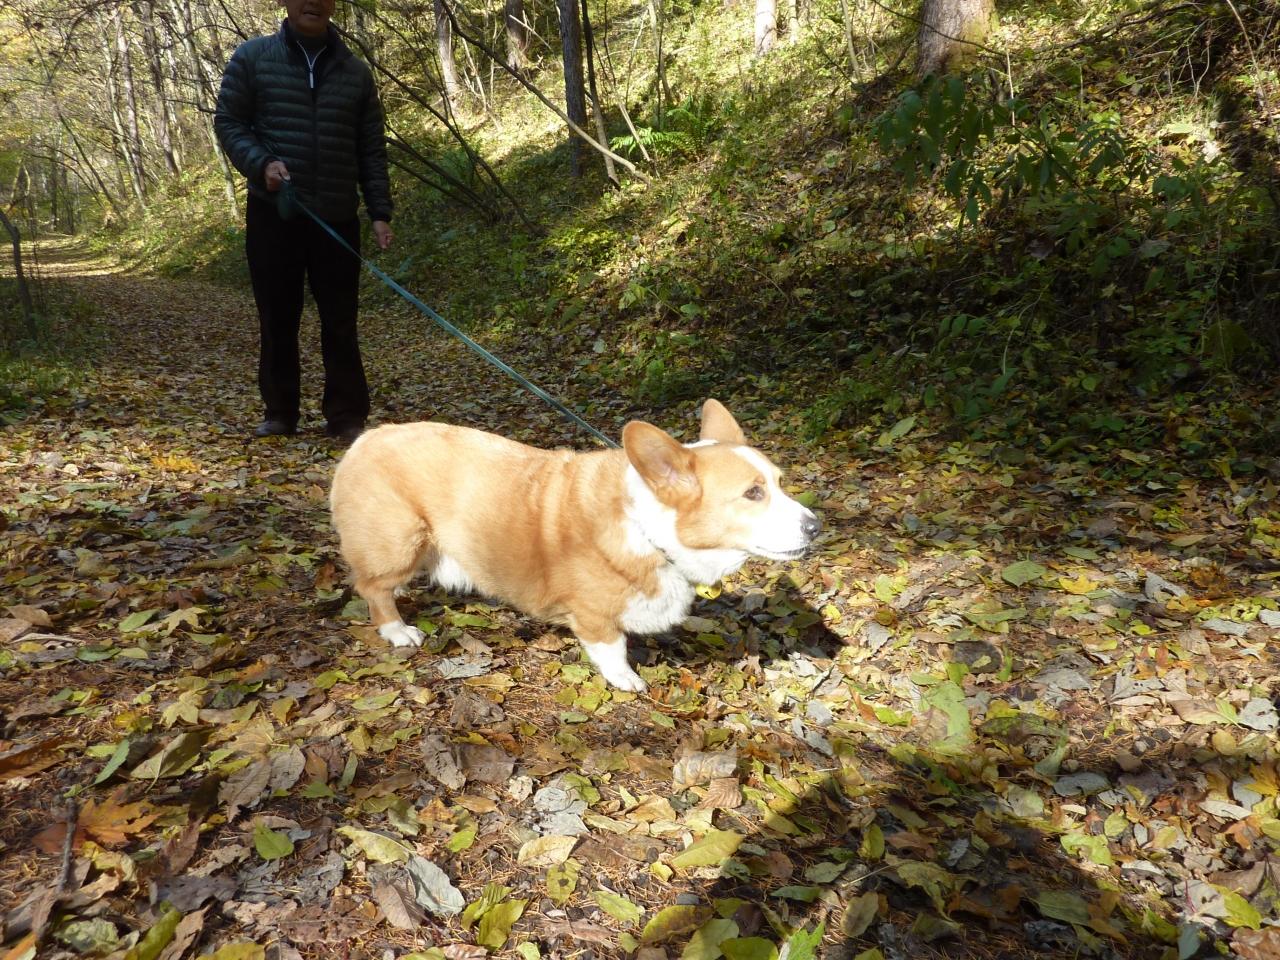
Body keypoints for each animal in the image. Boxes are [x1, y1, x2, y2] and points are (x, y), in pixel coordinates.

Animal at [328, 399, 821, 691]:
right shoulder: (594, 616)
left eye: (779, 483)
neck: (648, 530)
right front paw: (626, 679)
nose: (816, 527)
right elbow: (613, 648)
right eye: (752, 493)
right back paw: (397, 630)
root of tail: (366, 438)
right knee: (372, 588)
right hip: (401, 542)